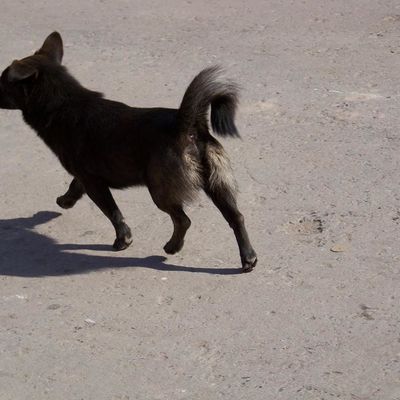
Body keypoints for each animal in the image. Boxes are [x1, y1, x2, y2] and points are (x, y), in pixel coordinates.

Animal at [0, 32, 256, 272]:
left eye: (2, 82)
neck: (63, 104)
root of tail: (188, 125)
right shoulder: (87, 176)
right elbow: (75, 186)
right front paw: (66, 201)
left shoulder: (94, 182)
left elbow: (111, 211)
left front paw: (122, 240)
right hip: (217, 185)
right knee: (236, 217)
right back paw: (248, 257)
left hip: (160, 191)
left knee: (183, 220)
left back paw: (173, 246)